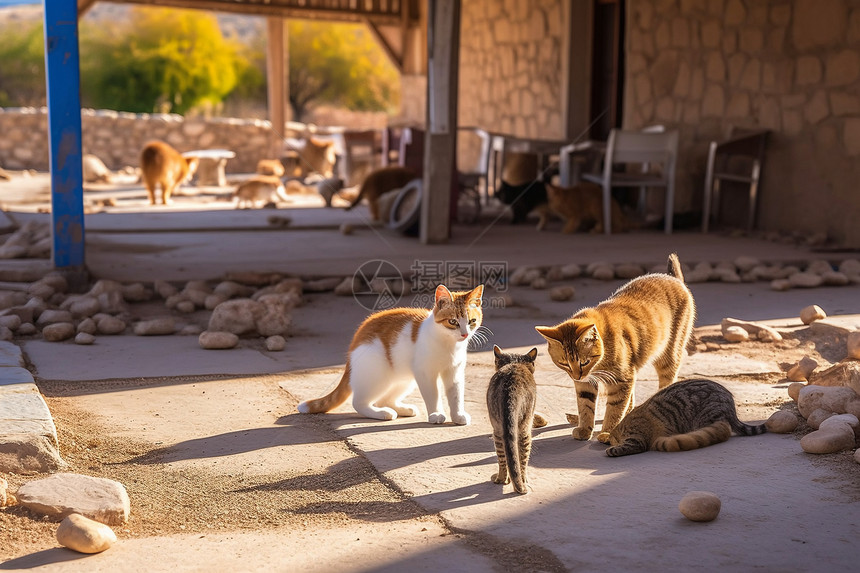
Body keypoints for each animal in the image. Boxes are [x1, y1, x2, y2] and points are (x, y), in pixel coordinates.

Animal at [298, 284, 484, 422]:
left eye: (471, 321)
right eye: (453, 322)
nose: (464, 334)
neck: (448, 344)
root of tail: (353, 344)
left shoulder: (454, 372)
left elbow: (456, 395)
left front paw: (458, 415)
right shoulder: (425, 372)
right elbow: (433, 395)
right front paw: (436, 414)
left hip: (404, 379)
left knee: (383, 399)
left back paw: (402, 409)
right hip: (378, 375)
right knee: (358, 402)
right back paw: (382, 413)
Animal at [488, 346, 540, 494]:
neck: (515, 363)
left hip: (497, 428)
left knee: (503, 457)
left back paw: (502, 480)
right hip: (525, 428)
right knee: (521, 460)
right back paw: (521, 481)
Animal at [536, 251, 700, 442]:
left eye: (584, 362)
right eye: (564, 363)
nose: (577, 376)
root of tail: (672, 277)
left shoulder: (621, 380)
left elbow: (614, 408)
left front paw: (607, 432)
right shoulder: (587, 384)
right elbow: (585, 406)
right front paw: (585, 429)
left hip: (668, 355)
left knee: (666, 381)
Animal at [604, 378, 764, 458]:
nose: (610, 442)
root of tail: (731, 405)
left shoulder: (637, 439)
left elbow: (627, 446)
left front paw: (613, 450)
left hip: (706, 417)